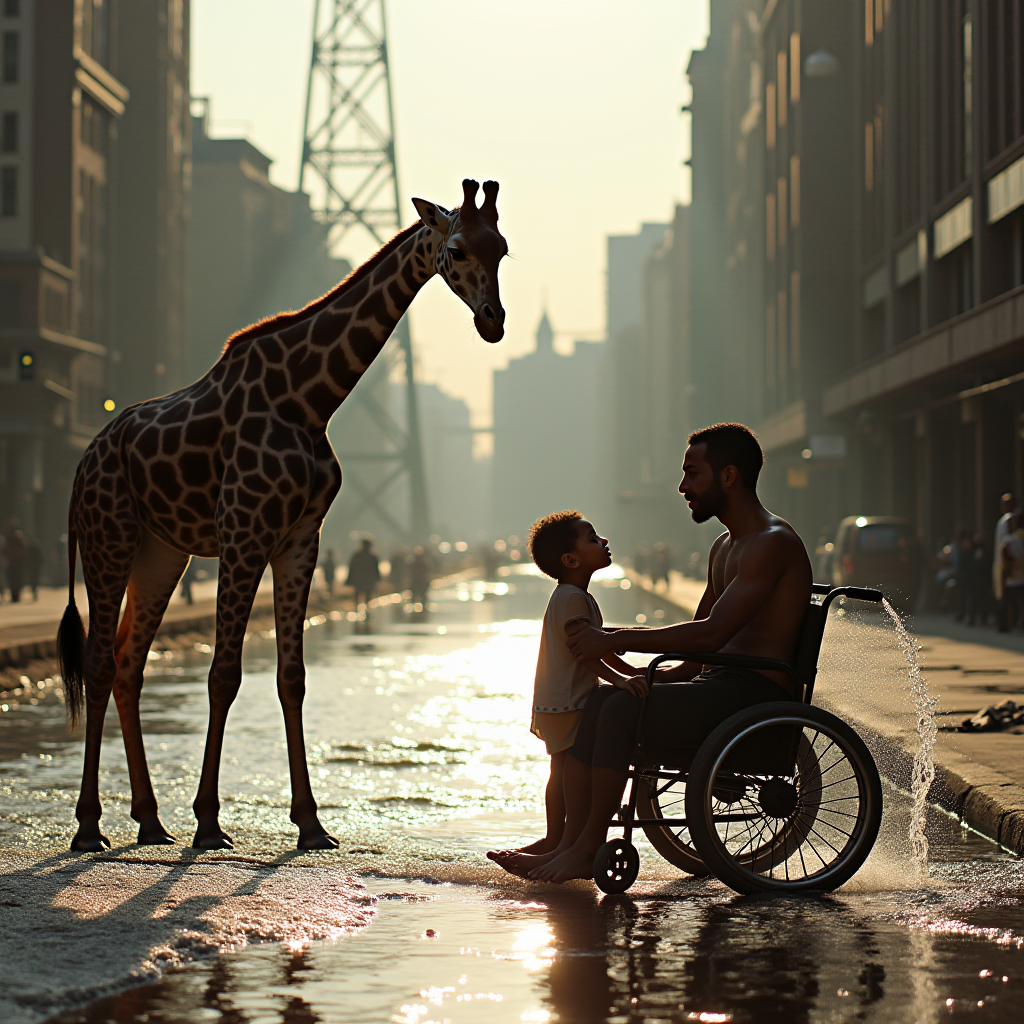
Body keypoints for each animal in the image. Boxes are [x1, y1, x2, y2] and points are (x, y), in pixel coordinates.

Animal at [58, 180, 505, 851]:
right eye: (455, 250)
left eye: (501, 247)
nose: (493, 321)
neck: (309, 400)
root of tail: (84, 459)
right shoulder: (244, 535)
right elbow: (223, 675)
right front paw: (209, 822)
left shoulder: (300, 541)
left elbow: (291, 677)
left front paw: (312, 824)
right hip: (107, 540)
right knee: (98, 661)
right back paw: (89, 826)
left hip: (161, 553)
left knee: (130, 663)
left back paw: (150, 820)